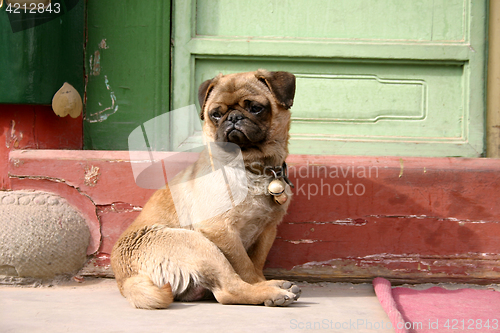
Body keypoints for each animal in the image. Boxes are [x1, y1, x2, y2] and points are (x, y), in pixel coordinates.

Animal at [111, 69, 300, 308]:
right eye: (215, 114)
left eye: (256, 108)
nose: (233, 117)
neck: (252, 168)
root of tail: (126, 281)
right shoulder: (220, 231)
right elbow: (245, 267)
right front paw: (259, 285)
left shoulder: (267, 230)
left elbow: (256, 263)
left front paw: (262, 280)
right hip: (199, 244)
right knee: (229, 290)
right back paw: (271, 292)